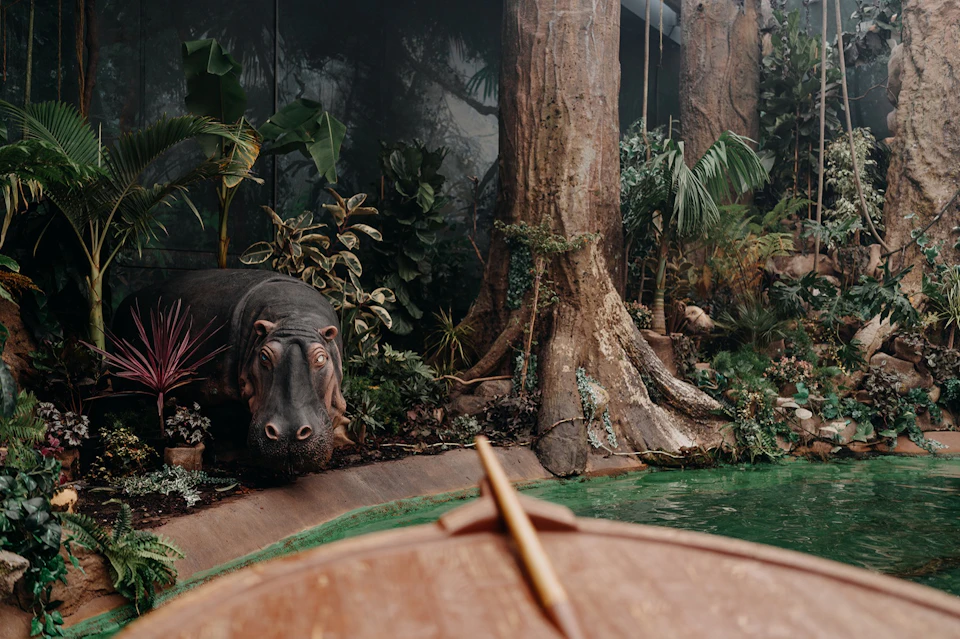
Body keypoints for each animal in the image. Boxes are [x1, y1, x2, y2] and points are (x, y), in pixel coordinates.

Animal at [112, 270, 350, 473]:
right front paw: (231, 456)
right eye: (264, 356)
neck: (294, 315)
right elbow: (225, 420)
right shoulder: (217, 392)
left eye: (321, 358)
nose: (288, 434)